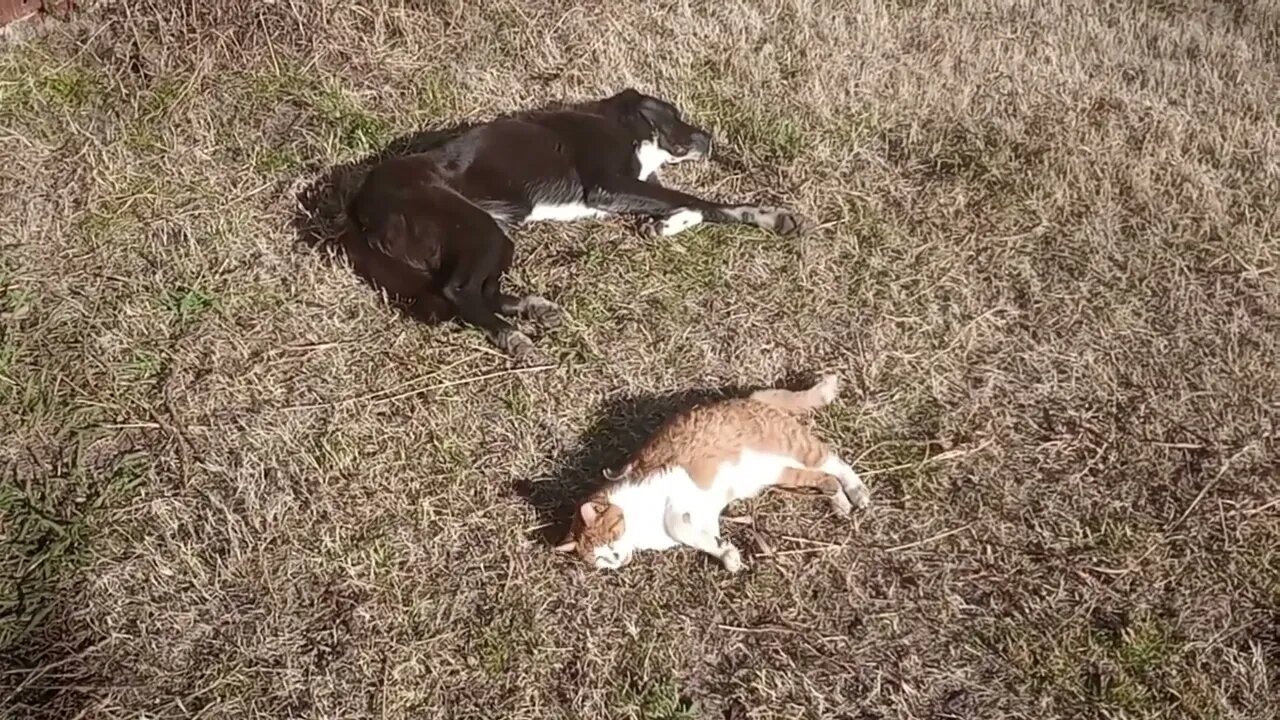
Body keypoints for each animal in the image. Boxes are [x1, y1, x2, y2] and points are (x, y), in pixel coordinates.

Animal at [350, 88, 808, 356]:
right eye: (674, 114)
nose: (708, 139)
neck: (619, 123)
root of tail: (361, 206)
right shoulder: (609, 185)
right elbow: (701, 200)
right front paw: (759, 213)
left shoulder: (633, 188)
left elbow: (695, 206)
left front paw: (670, 225)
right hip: (477, 229)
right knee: (457, 290)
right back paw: (512, 336)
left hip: (495, 233)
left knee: (477, 290)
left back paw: (532, 308)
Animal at [552, 376, 870, 571]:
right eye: (601, 560)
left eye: (609, 542)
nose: (617, 559)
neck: (642, 528)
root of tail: (751, 398)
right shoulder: (704, 518)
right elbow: (702, 537)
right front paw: (725, 553)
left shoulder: (676, 486)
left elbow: (677, 524)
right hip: (783, 472)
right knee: (826, 478)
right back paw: (839, 502)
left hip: (795, 447)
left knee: (835, 462)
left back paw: (857, 492)